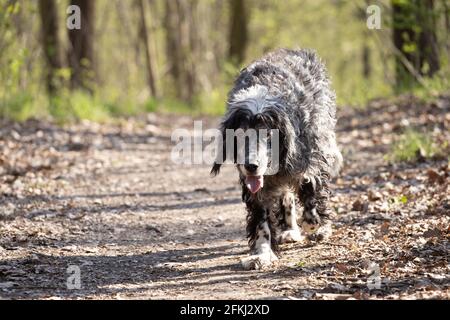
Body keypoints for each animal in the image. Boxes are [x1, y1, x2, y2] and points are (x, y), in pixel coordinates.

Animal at [211, 48, 342, 270]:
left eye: (267, 134)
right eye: (240, 134)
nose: (251, 165)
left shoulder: (310, 160)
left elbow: (311, 187)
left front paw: (313, 222)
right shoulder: (257, 189)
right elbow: (262, 222)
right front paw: (262, 254)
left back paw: (321, 227)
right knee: (287, 197)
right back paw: (290, 229)